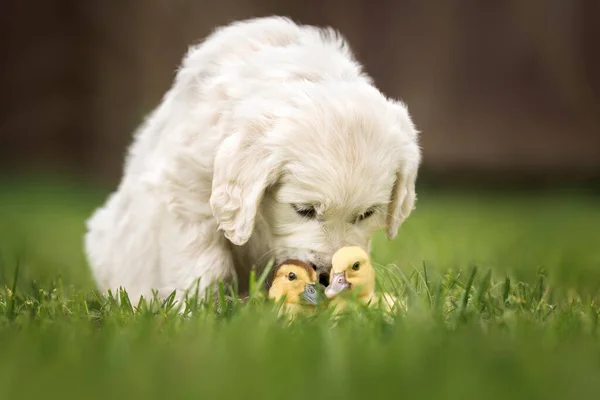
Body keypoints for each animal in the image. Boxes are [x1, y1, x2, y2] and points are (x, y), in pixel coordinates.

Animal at [84, 15, 422, 304]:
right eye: (304, 210)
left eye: (366, 215)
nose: (328, 276)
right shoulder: (189, 191)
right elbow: (202, 262)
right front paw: (198, 313)